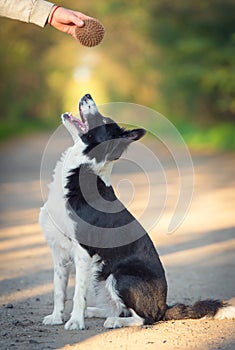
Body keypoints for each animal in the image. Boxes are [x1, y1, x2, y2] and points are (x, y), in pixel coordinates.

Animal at [39, 94, 235, 330]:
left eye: (104, 121)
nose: (87, 95)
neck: (81, 172)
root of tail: (164, 306)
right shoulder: (57, 250)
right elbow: (59, 289)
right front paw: (57, 317)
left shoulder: (83, 251)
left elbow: (78, 293)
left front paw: (75, 321)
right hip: (102, 278)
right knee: (119, 308)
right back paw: (96, 312)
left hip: (120, 276)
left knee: (146, 318)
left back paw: (113, 320)